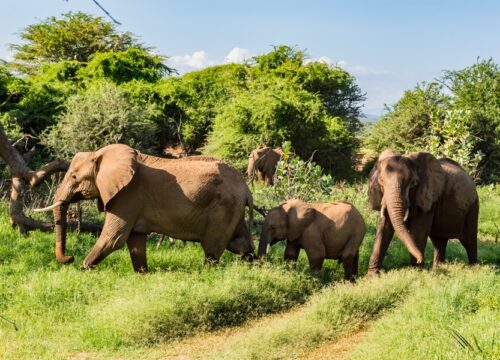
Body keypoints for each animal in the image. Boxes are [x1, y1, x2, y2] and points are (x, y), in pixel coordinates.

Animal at [34, 143, 254, 272]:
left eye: (74, 177)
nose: (69, 258)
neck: (100, 154)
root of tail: (245, 188)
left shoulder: (127, 196)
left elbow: (114, 238)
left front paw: (84, 268)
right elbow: (135, 240)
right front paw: (142, 274)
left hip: (222, 207)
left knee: (212, 247)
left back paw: (207, 272)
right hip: (232, 208)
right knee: (240, 243)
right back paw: (253, 266)